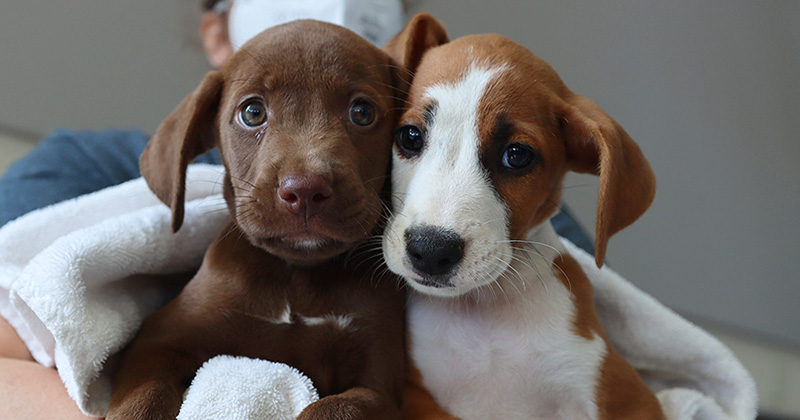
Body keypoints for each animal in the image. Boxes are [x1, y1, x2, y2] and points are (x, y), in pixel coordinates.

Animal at [106, 20, 410, 420]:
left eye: (362, 112)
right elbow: (143, 397)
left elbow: (332, 407)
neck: (295, 278)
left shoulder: (379, 385)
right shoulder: (157, 341)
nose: (305, 190)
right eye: (252, 113)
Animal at [384, 13, 664, 420]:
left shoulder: (626, 395)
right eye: (409, 136)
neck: (483, 311)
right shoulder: (411, 391)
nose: (432, 250)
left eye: (516, 156)